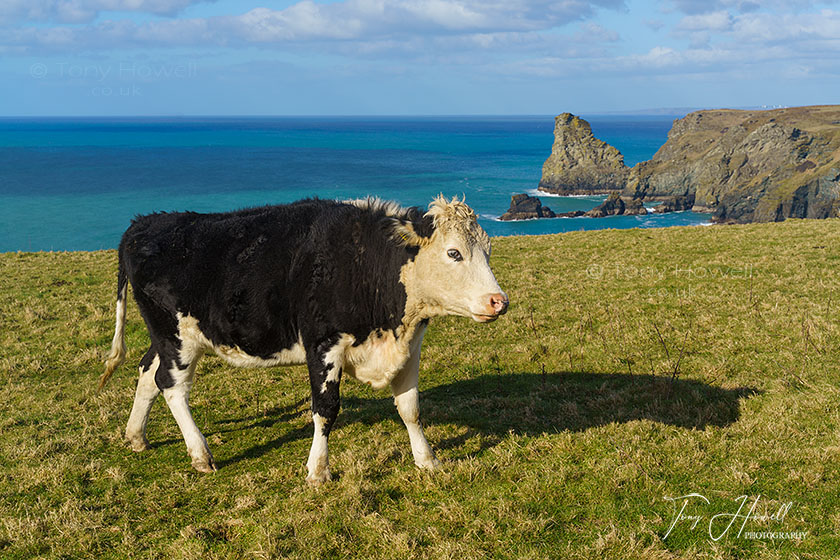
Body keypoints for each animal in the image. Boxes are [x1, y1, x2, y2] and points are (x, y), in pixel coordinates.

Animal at [98, 195, 506, 484]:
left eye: (487, 251)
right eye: (453, 253)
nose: (499, 301)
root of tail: (145, 222)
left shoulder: (410, 345)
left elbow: (410, 407)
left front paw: (427, 459)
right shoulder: (323, 344)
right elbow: (326, 410)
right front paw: (318, 470)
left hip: (166, 336)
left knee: (148, 372)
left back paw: (136, 436)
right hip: (176, 334)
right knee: (172, 386)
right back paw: (200, 454)